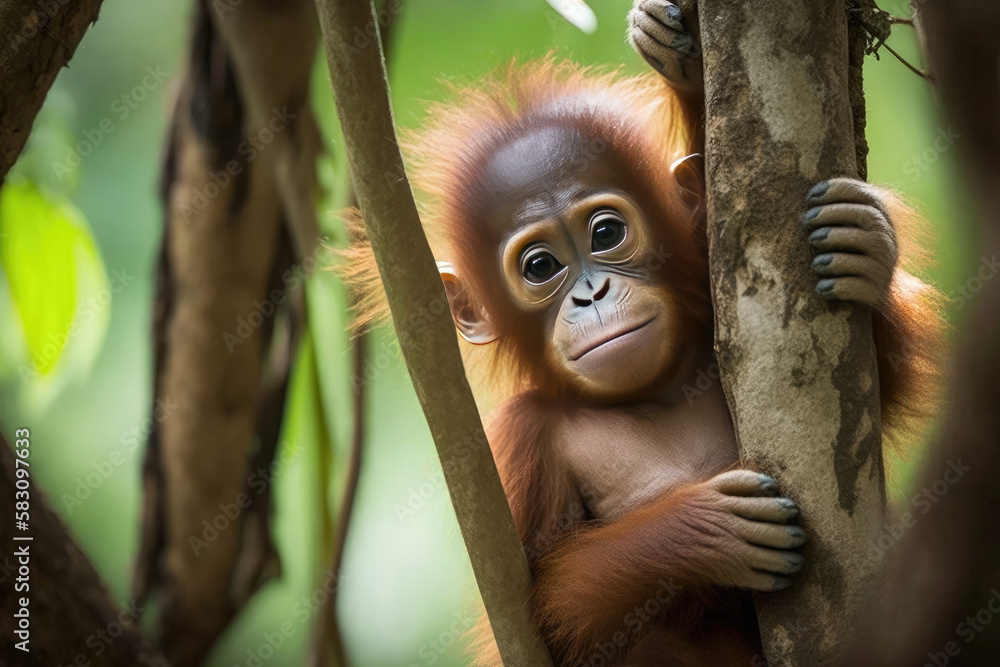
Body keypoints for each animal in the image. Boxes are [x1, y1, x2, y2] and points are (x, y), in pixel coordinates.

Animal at [337, 1, 945, 664]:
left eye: (606, 233)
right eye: (540, 267)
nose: (591, 294)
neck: (652, 395)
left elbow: (869, 405)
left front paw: (867, 251)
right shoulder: (521, 444)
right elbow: (543, 622)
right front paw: (702, 531)